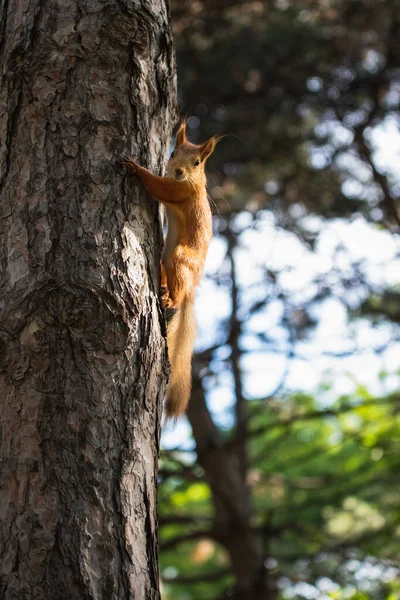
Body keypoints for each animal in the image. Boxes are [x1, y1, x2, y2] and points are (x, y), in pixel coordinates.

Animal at [123, 123, 220, 418]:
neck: (193, 181)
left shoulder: (179, 191)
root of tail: (191, 289)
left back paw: (170, 298)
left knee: (178, 293)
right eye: (173, 152)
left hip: (179, 258)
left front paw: (136, 168)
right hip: (166, 256)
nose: (178, 171)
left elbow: (160, 187)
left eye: (197, 162)